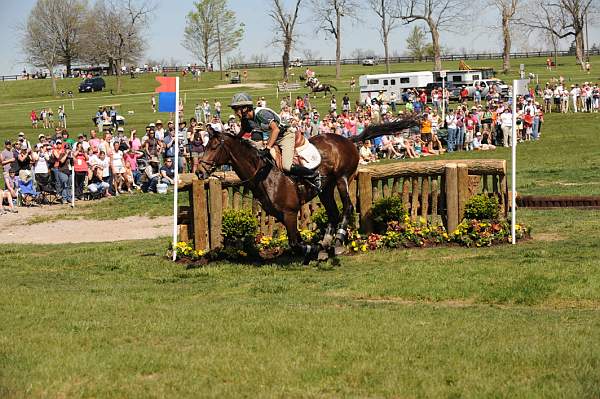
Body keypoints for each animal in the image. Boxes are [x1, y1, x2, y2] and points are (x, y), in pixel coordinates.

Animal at [199, 117, 420, 264]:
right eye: (205, 145)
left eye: (214, 147)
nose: (200, 171)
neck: (262, 172)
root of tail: (348, 139)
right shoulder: (280, 215)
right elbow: (295, 241)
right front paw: (319, 249)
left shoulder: (289, 213)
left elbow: (295, 243)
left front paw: (315, 249)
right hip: (325, 189)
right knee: (333, 213)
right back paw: (328, 242)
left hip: (342, 179)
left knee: (347, 207)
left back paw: (338, 241)